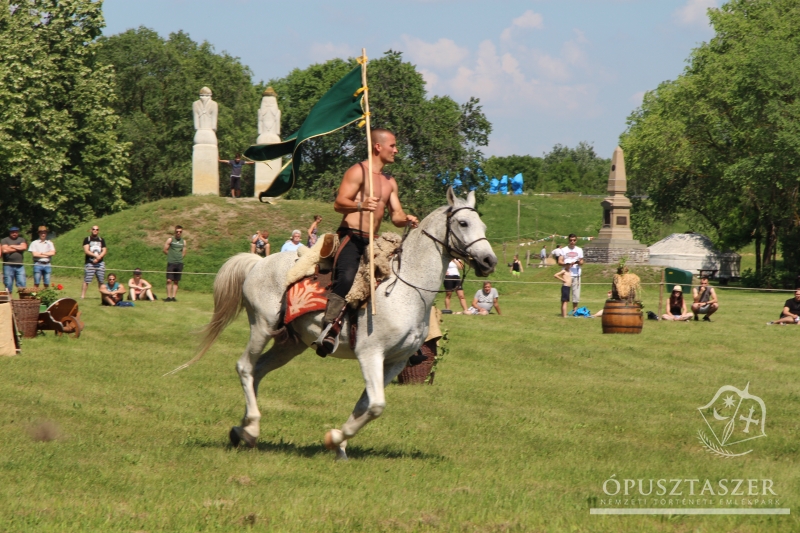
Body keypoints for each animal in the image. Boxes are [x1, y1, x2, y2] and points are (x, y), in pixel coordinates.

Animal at [177, 187, 494, 458]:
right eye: (463, 223)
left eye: (483, 227)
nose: (489, 261)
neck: (405, 287)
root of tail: (258, 263)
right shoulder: (370, 354)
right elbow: (376, 406)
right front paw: (335, 439)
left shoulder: (395, 362)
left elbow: (365, 405)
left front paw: (339, 444)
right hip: (262, 327)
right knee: (244, 367)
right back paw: (252, 427)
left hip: (290, 344)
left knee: (258, 371)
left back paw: (241, 430)